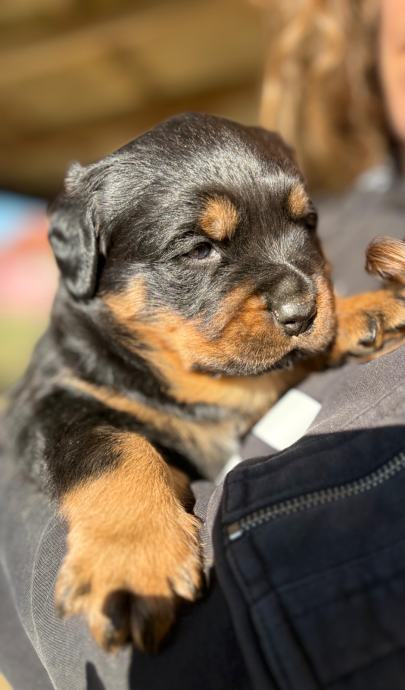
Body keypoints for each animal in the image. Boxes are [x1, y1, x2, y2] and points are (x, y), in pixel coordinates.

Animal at [5, 113, 405, 653]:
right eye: (199, 249)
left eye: (308, 223)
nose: (302, 312)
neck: (198, 381)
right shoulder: (50, 402)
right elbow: (112, 449)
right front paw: (133, 562)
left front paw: (366, 309)